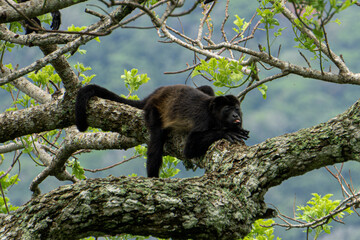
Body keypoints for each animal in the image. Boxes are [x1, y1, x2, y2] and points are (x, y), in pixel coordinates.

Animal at [74, 84, 249, 176]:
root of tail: (153, 95)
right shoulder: (204, 120)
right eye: (227, 109)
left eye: (236, 108)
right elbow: (190, 148)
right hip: (153, 111)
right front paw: (227, 132)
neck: (214, 115)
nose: (235, 115)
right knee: (156, 140)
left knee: (206, 87)